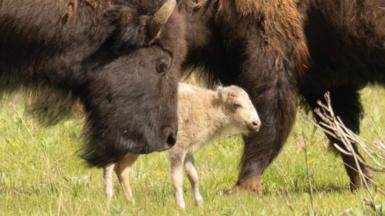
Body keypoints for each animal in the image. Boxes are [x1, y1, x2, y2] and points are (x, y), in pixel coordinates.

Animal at [103, 82, 260, 208]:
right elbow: (177, 179)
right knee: (110, 166)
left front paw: (199, 203)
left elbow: (194, 177)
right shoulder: (177, 151)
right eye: (236, 105)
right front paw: (181, 206)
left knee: (122, 169)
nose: (256, 123)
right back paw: (109, 199)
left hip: (133, 150)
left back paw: (132, 202)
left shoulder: (188, 151)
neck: (208, 106)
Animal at [180, 0, 384, 192]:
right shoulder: (324, 82)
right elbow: (341, 132)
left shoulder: (273, 60)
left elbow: (269, 119)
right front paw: (361, 183)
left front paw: (244, 186)